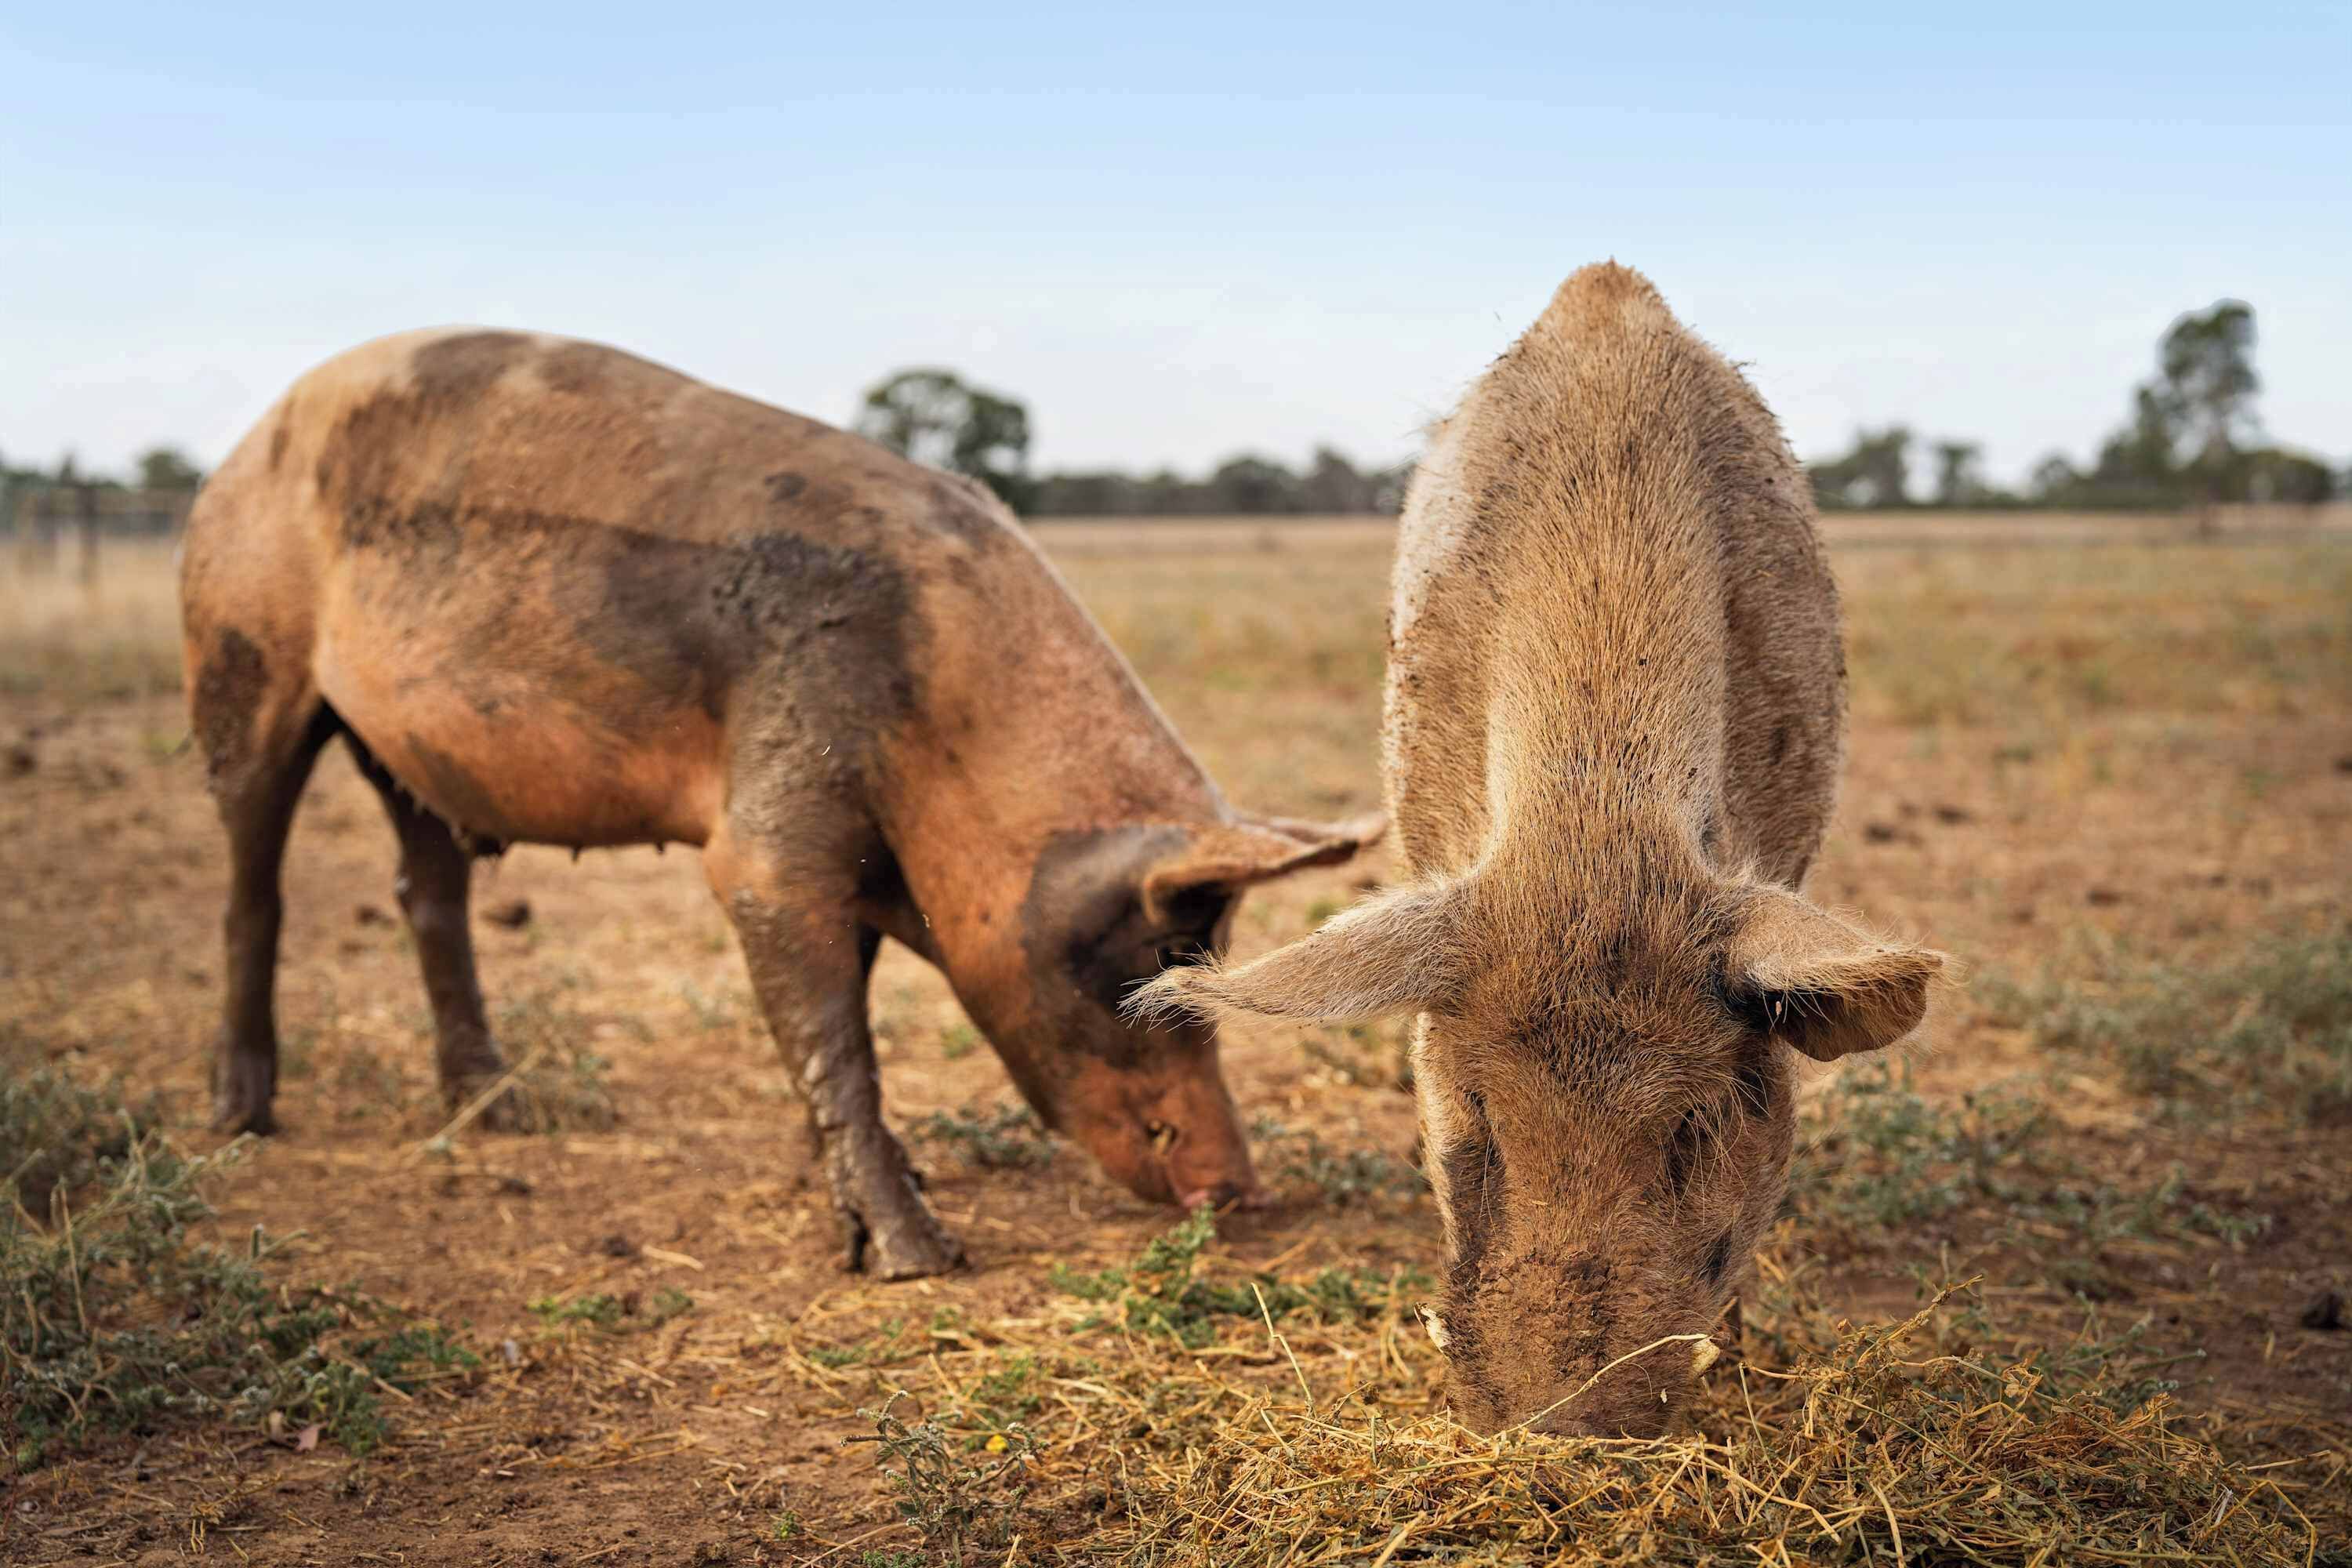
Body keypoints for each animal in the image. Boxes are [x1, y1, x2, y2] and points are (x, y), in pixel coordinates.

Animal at [179, 328, 1381, 1278]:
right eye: (1145, 966)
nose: (1239, 1186)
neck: (948, 724)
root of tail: (245, 443)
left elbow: (843, 1010)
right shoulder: (775, 813)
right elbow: (831, 1023)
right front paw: (917, 1258)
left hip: (412, 751)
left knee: (428, 889)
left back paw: (498, 1110)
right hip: (240, 650)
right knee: (250, 872)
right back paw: (242, 1117)